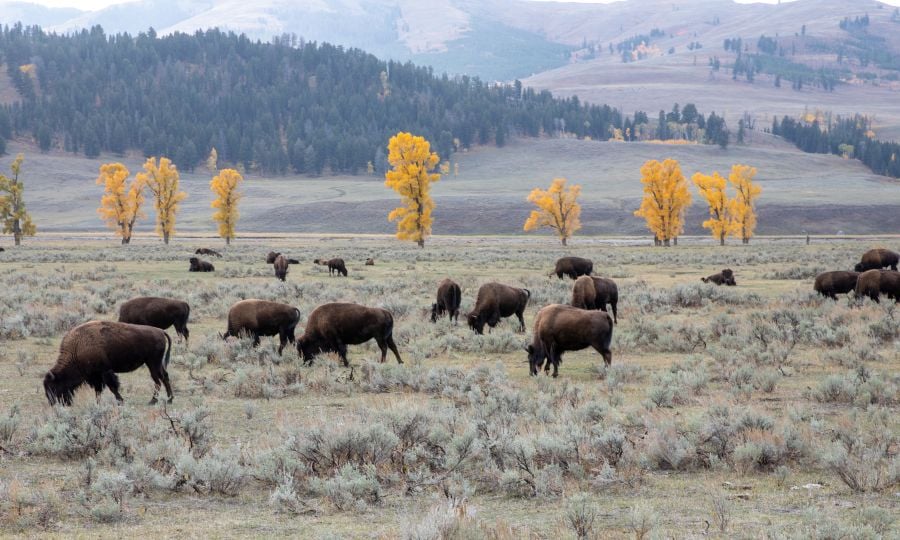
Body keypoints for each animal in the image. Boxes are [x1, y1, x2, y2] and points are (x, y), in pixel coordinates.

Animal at [43, 321, 173, 406]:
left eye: (53, 387)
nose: (52, 403)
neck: (77, 347)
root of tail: (160, 331)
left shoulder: (104, 372)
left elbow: (112, 387)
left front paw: (120, 401)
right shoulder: (95, 377)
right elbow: (98, 390)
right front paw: (98, 403)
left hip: (152, 363)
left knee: (158, 380)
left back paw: (153, 401)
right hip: (156, 363)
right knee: (164, 377)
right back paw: (169, 399)